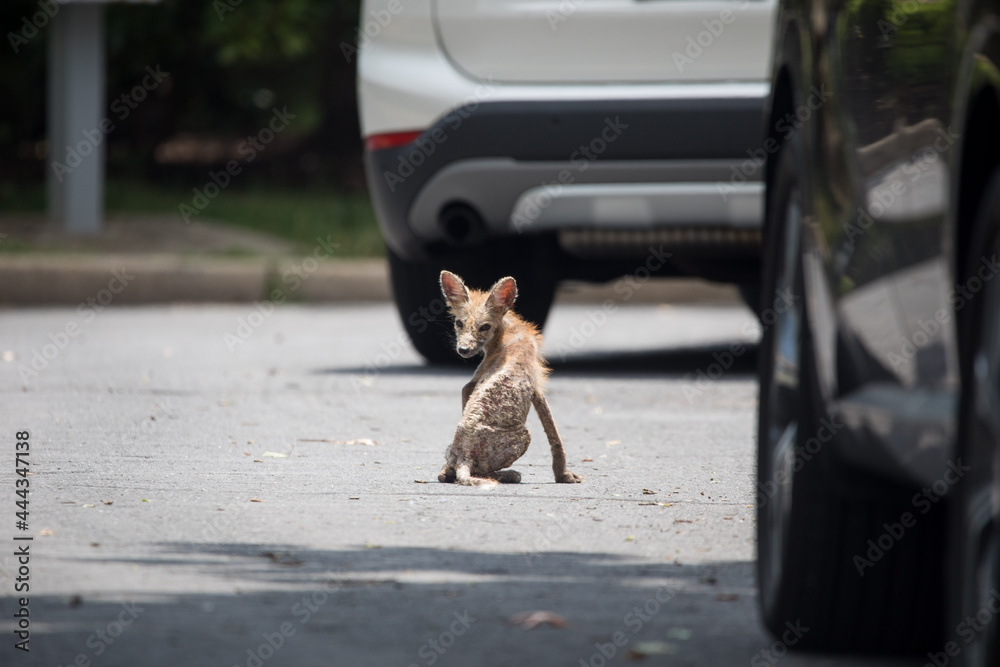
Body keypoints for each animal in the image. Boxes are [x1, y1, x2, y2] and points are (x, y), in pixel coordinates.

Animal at [437, 270, 584, 488]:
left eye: (484, 327)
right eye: (459, 323)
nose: (463, 350)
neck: (510, 332)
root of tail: (464, 456)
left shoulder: (472, 383)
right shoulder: (536, 389)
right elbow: (556, 438)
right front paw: (563, 476)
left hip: (455, 451)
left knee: (449, 470)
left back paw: (452, 471)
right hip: (524, 436)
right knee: (479, 471)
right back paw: (509, 475)